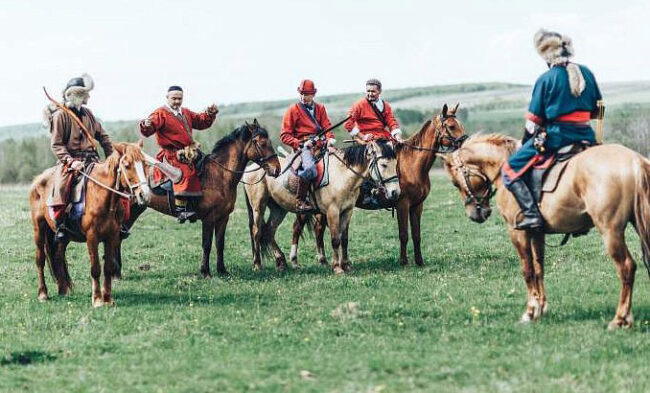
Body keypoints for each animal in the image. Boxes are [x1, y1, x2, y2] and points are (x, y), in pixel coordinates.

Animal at [29, 141, 151, 306]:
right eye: (126, 165)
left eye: (144, 164)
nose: (144, 195)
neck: (102, 196)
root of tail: (37, 180)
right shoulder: (92, 237)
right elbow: (96, 268)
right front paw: (98, 299)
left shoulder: (112, 236)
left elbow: (108, 267)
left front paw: (108, 299)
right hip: (39, 229)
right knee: (40, 259)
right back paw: (43, 294)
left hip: (63, 236)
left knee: (58, 255)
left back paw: (63, 290)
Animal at [117, 121, 280, 278]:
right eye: (262, 143)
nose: (276, 169)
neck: (219, 174)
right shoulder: (208, 219)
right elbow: (206, 245)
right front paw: (205, 272)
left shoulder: (223, 218)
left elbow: (220, 243)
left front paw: (222, 270)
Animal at [243, 140, 400, 272]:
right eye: (384, 165)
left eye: (395, 164)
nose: (395, 192)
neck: (342, 175)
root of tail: (250, 169)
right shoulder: (332, 211)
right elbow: (335, 239)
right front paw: (337, 267)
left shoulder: (347, 211)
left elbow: (344, 239)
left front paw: (346, 265)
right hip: (259, 207)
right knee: (257, 232)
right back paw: (258, 264)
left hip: (278, 209)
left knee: (269, 231)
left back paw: (281, 262)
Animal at [288, 102, 466, 266]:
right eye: (451, 126)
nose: (464, 143)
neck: (412, 164)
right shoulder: (402, 204)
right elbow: (404, 234)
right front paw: (404, 262)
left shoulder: (417, 206)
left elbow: (416, 235)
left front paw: (419, 261)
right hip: (308, 208)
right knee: (298, 228)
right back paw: (296, 260)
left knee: (318, 230)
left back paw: (324, 260)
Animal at [436, 133, 648, 330]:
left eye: (455, 183)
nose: (476, 214)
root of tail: (634, 160)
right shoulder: (537, 233)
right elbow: (539, 269)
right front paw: (541, 308)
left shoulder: (518, 233)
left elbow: (528, 270)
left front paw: (530, 312)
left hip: (610, 232)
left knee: (626, 267)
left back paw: (620, 318)